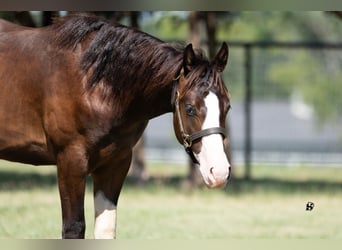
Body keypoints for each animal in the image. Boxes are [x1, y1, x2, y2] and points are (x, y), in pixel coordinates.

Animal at [0, 15, 231, 238]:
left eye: (227, 106)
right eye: (190, 108)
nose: (219, 172)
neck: (95, 84)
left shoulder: (115, 163)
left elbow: (106, 228)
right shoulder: (70, 161)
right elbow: (73, 228)